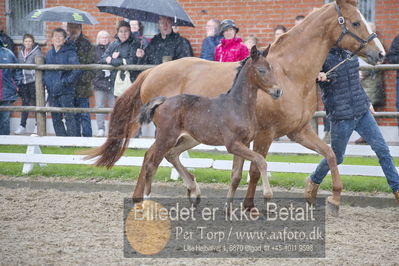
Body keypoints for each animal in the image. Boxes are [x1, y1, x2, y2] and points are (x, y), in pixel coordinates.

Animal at [133, 45, 282, 204]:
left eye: (271, 68)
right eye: (261, 70)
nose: (278, 91)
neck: (237, 106)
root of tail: (163, 101)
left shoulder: (244, 143)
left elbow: (236, 176)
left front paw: (228, 207)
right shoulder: (232, 144)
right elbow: (261, 160)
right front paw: (267, 195)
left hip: (189, 139)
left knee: (172, 154)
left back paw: (194, 190)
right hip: (166, 138)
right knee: (152, 164)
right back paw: (147, 200)